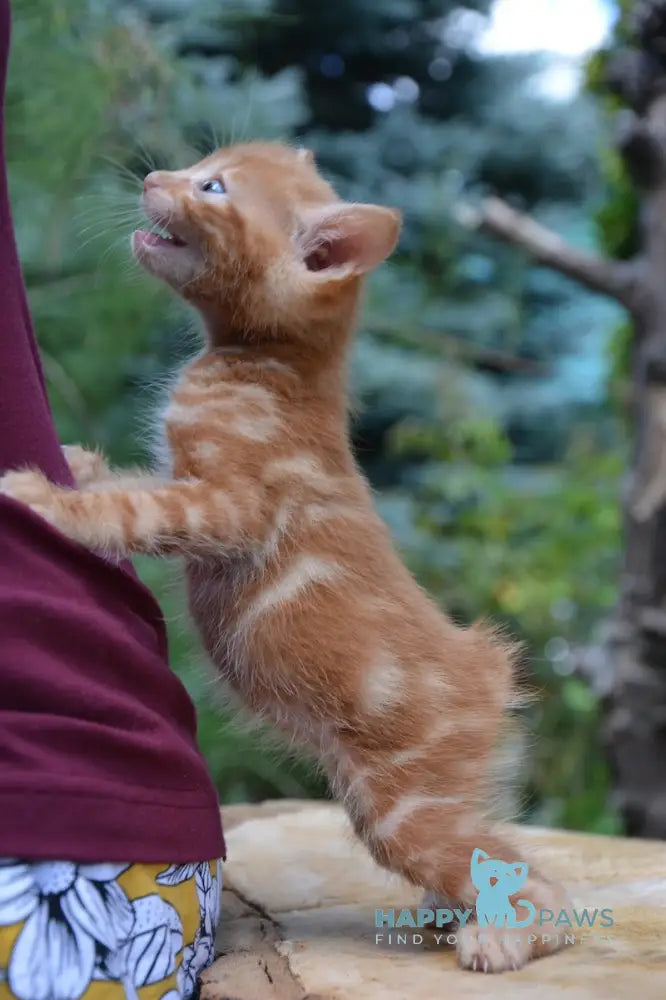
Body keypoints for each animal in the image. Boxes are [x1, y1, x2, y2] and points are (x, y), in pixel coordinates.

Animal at [1, 141, 572, 968]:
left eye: (211, 186)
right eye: (200, 165)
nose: (153, 178)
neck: (267, 368)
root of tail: (487, 672)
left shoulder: (224, 504)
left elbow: (131, 508)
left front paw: (43, 497)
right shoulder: (191, 484)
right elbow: (127, 482)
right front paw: (75, 461)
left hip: (404, 808)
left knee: (536, 884)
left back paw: (502, 938)